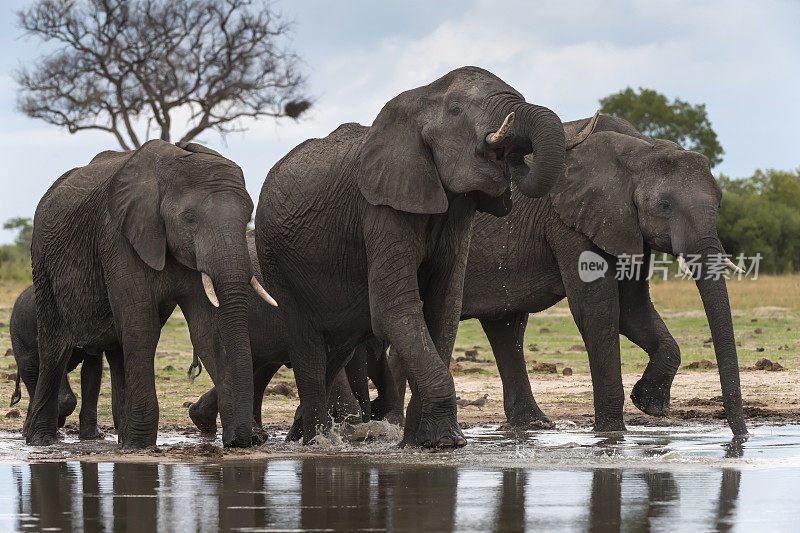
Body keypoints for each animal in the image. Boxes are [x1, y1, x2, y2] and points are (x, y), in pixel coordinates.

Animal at [24, 139, 278, 446]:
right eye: (188, 218)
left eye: (247, 215)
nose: (247, 439)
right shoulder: (118, 236)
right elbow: (141, 326)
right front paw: (141, 445)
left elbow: (206, 330)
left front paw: (236, 440)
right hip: (42, 260)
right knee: (53, 348)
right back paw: (39, 439)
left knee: (118, 349)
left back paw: (118, 437)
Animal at [255, 67, 564, 448]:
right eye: (457, 110)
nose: (514, 158)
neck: (422, 99)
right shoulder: (381, 207)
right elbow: (395, 309)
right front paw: (445, 442)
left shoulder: (457, 213)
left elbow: (442, 309)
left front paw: (425, 442)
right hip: (273, 257)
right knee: (308, 345)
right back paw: (317, 442)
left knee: (338, 346)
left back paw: (304, 436)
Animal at [384, 114, 748, 434]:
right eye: (665, 206)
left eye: (719, 205)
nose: (740, 438)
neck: (640, 148)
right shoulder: (570, 221)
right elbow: (597, 311)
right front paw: (612, 432)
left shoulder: (625, 226)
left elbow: (632, 309)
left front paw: (649, 404)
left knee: (504, 328)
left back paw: (533, 425)